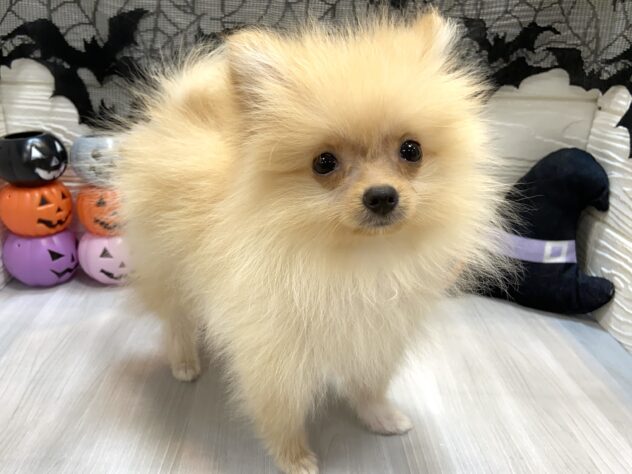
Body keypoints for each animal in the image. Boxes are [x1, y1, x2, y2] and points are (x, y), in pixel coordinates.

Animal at [116, 9, 509, 473]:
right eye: (325, 163)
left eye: (411, 150)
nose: (382, 195)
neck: (356, 258)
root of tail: (180, 112)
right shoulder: (275, 352)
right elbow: (281, 410)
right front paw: (294, 457)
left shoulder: (378, 333)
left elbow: (370, 383)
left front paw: (379, 416)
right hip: (168, 269)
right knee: (177, 320)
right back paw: (184, 362)